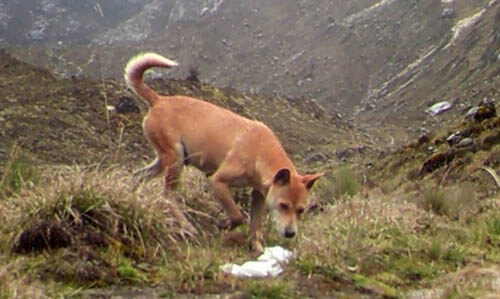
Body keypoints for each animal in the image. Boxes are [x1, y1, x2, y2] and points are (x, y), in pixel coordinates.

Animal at [123, 52, 322, 252]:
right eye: (283, 205)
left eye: (301, 210)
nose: (290, 233)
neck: (260, 151)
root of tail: (159, 100)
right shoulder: (218, 181)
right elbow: (237, 216)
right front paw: (224, 225)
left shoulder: (258, 196)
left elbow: (255, 225)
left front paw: (257, 248)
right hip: (175, 162)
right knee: (167, 198)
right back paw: (186, 226)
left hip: (164, 161)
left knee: (137, 177)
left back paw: (131, 197)